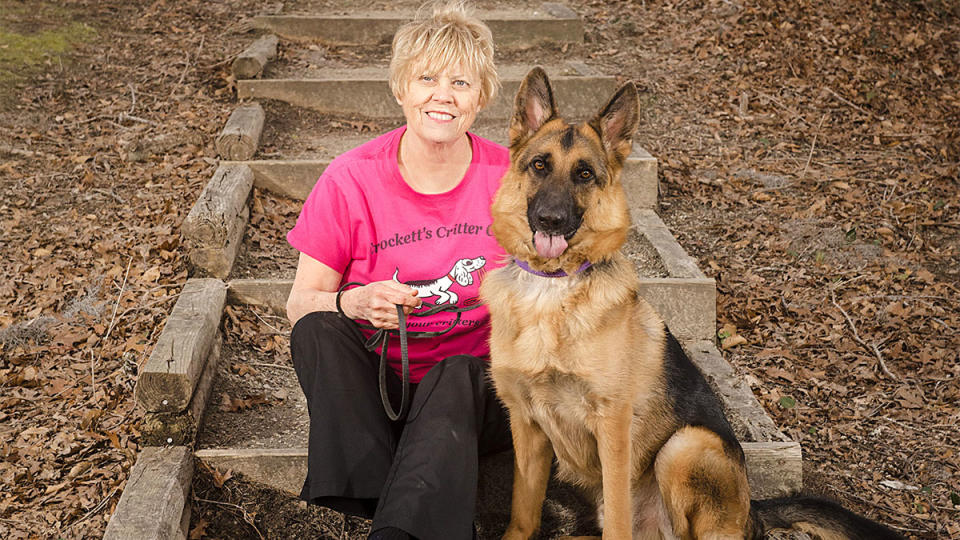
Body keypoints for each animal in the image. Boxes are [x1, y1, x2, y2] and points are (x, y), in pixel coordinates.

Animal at [478, 68, 900, 540]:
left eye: (584, 174)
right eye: (539, 165)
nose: (550, 220)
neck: (552, 290)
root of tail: (750, 512)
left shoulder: (613, 427)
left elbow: (618, 515)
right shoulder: (526, 425)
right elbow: (523, 508)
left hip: (685, 445)